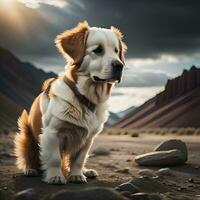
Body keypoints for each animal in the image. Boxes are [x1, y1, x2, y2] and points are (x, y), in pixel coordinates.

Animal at [14, 21, 126, 184]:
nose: (119, 66)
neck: (84, 97)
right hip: (27, 132)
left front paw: (77, 174)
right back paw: (30, 169)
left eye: (117, 51)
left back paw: (87, 171)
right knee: (29, 154)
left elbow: (79, 159)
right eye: (98, 50)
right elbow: (54, 158)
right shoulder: (52, 133)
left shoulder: (88, 138)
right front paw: (55, 176)